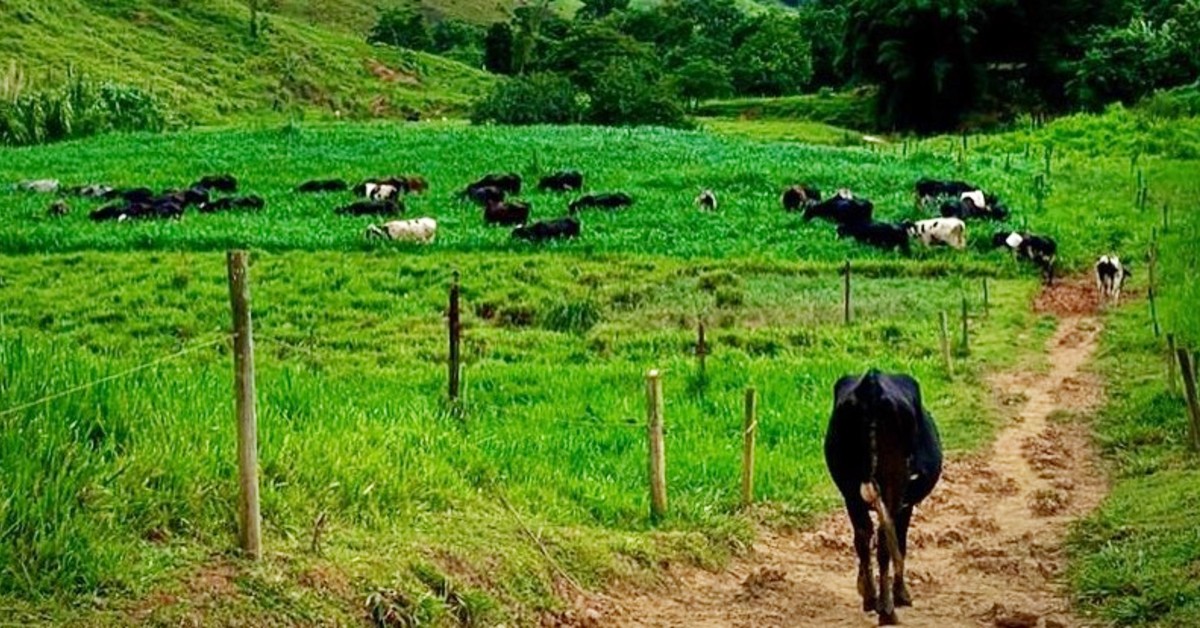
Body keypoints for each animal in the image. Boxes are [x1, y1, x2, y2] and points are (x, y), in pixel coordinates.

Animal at [825, 372, 945, 624]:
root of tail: (872, 382)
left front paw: (863, 586)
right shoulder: (905, 505)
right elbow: (900, 542)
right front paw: (901, 594)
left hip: (850, 490)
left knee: (863, 536)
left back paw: (871, 598)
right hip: (893, 488)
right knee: (883, 541)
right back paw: (887, 610)